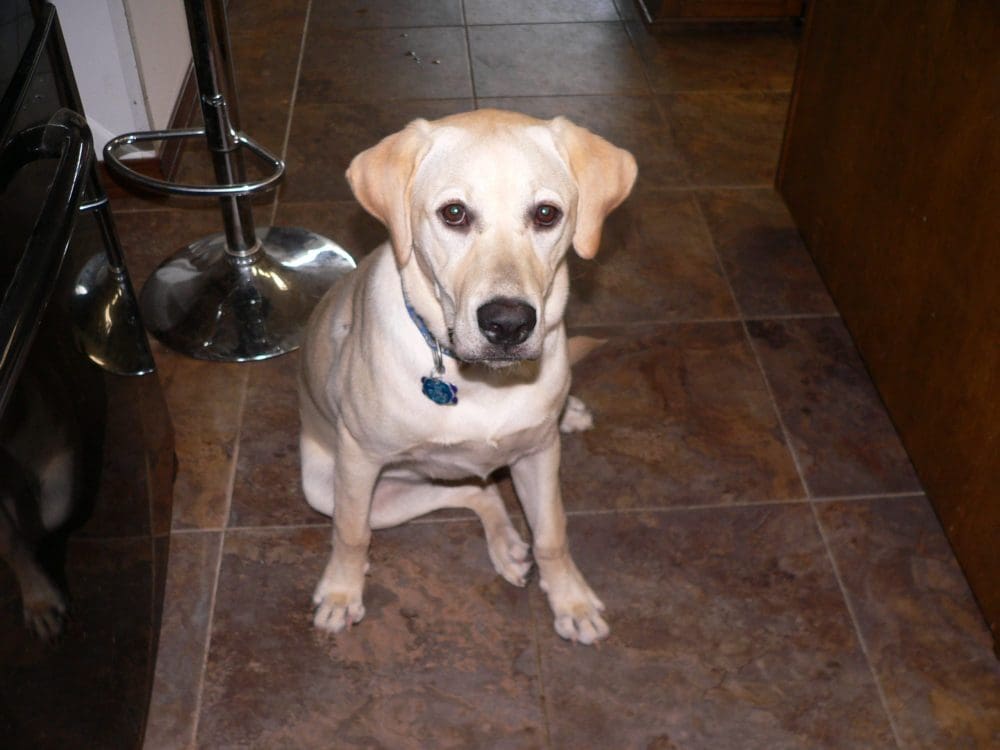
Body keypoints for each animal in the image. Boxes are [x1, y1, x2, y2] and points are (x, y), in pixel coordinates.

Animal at [299, 109, 636, 644]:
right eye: (454, 213)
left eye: (546, 214)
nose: (508, 324)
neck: (482, 383)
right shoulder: (357, 459)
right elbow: (351, 534)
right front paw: (340, 593)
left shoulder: (540, 455)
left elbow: (553, 534)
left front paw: (571, 600)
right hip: (336, 488)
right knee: (468, 491)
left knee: (481, 489)